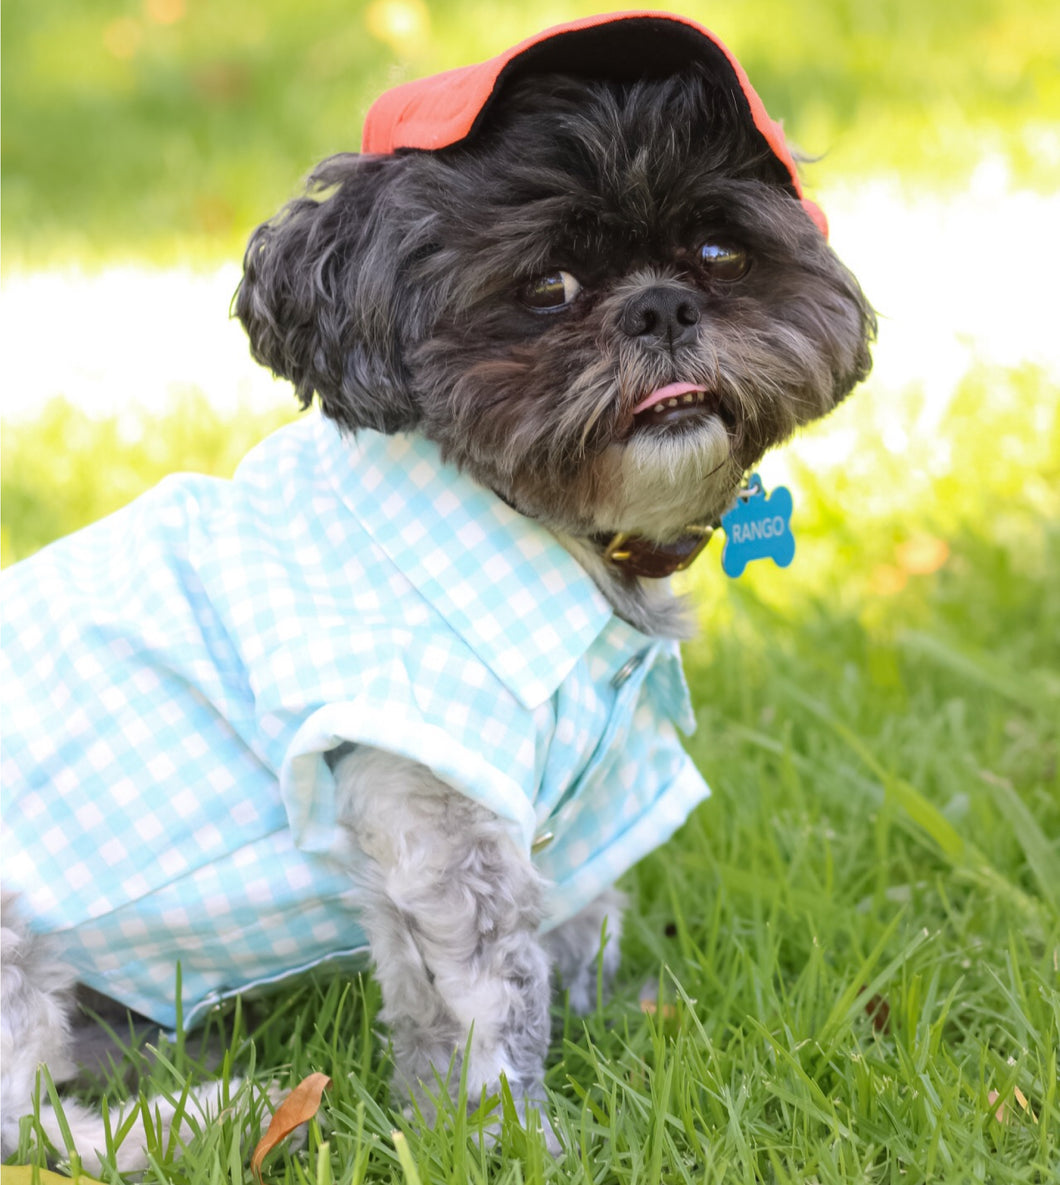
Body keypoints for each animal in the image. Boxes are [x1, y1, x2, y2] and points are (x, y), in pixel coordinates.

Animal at [0, 9, 876, 1170]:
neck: (536, 525)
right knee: (37, 1128)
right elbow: (482, 1000)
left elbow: (577, 926)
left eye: (718, 252)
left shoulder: (584, 794)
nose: (661, 306)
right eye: (546, 287)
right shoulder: (435, 821)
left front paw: (623, 1022)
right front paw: (508, 1140)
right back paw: (213, 1113)